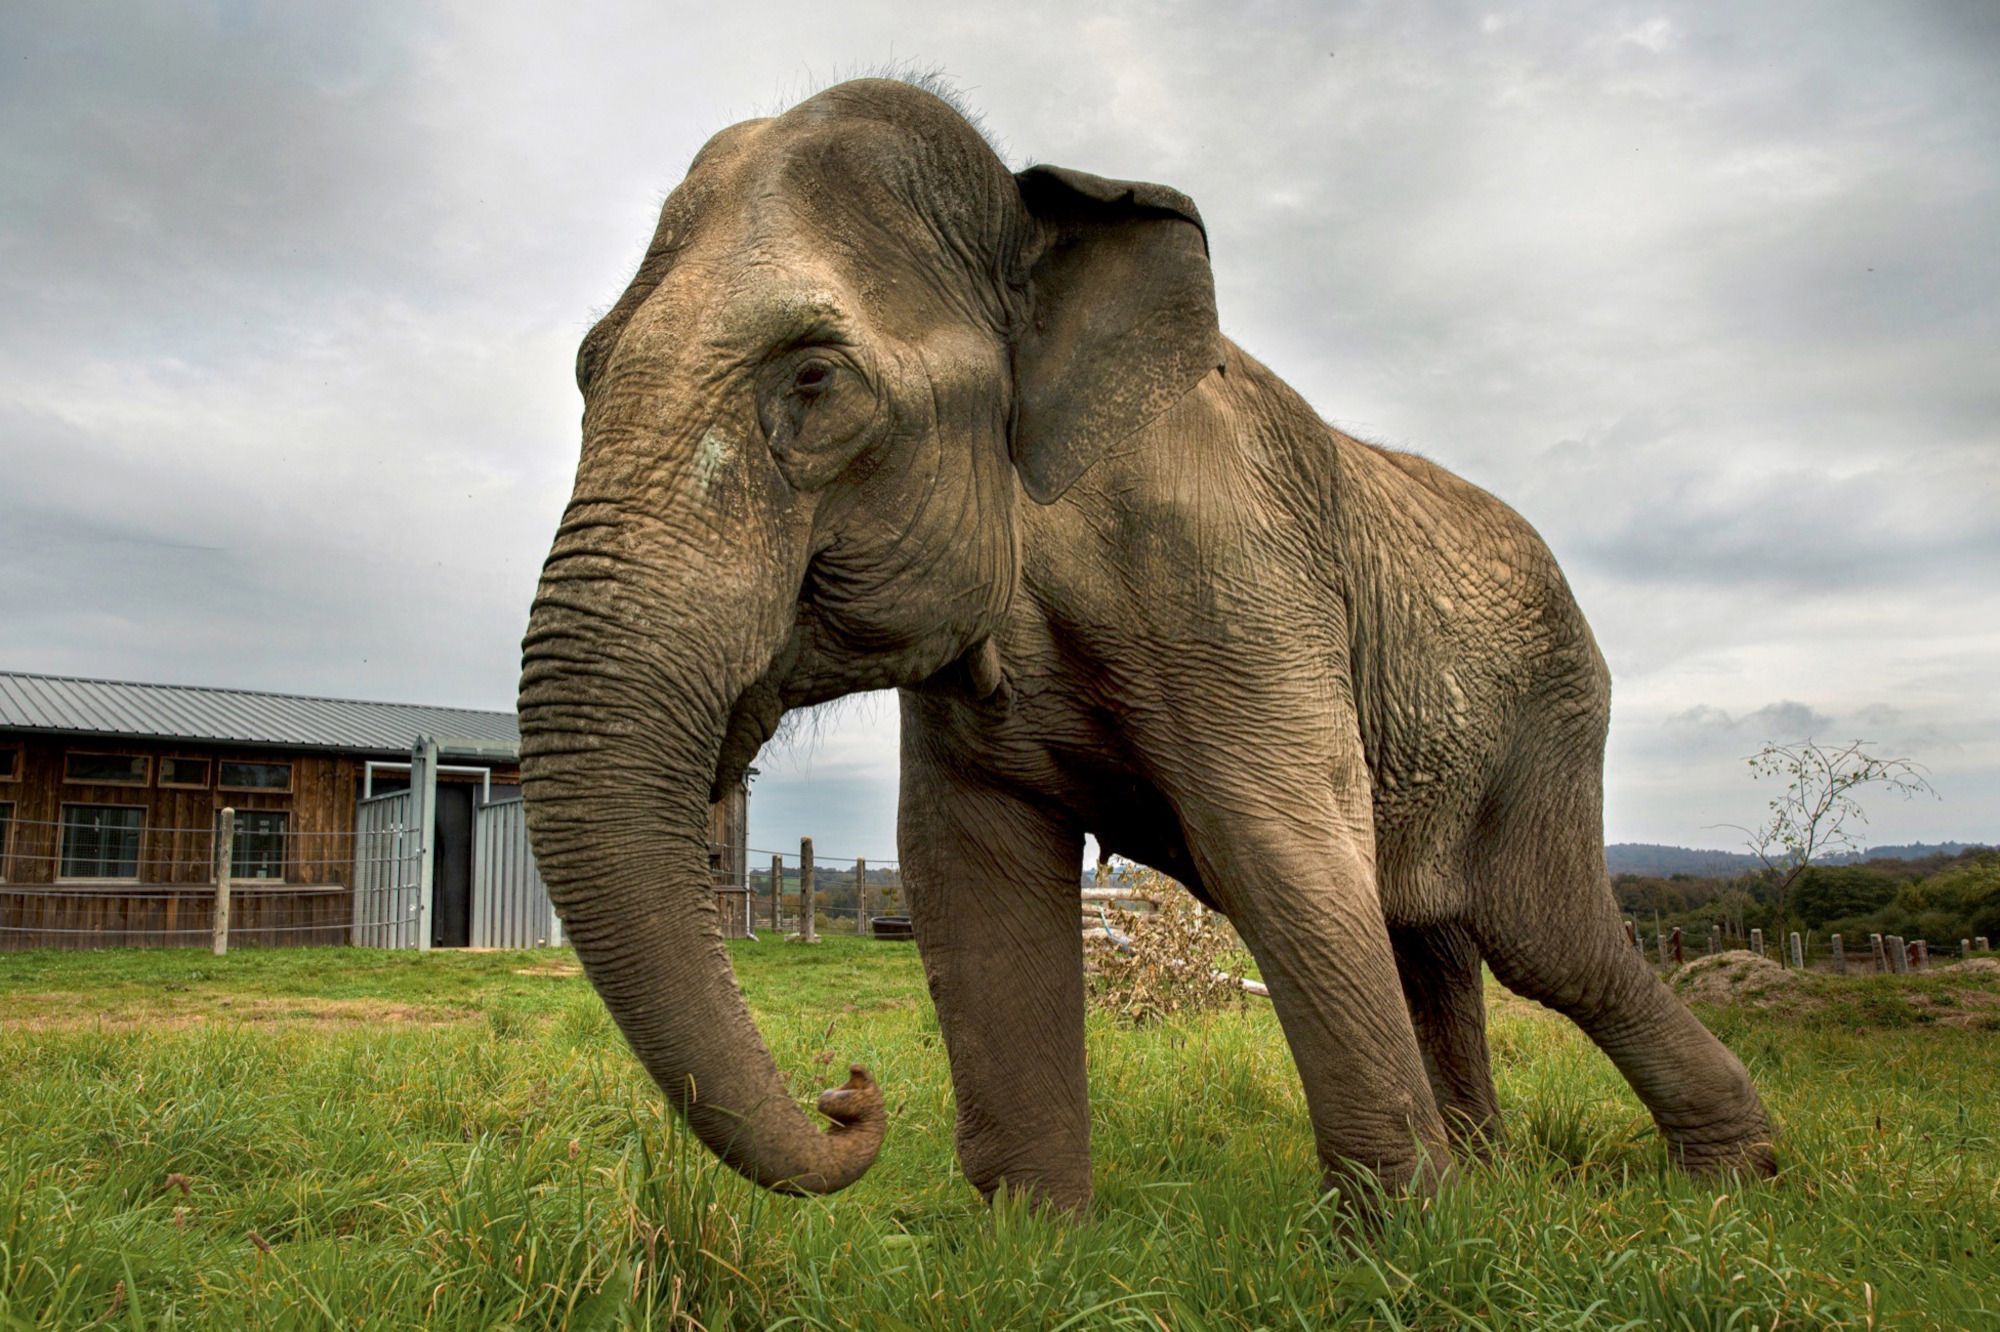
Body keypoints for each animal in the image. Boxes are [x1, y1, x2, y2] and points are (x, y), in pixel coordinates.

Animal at [517, 76, 1775, 1216]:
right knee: (1433, 935)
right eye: (582, 370)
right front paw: (1033, 1246)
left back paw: (1729, 1182)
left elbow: (1276, 844)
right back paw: (1503, 1178)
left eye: (815, 381)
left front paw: (1404, 1248)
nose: (849, 1092)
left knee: (1546, 942)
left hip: (1549, 725)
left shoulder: (1235, 577)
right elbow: (966, 871)